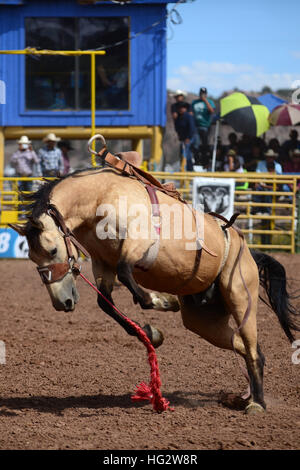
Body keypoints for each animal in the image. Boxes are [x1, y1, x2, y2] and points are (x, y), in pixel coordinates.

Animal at [10, 134, 298, 414]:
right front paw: (152, 333)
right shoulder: (103, 263)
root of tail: (247, 250)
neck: (101, 197)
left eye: (53, 249)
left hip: (240, 296)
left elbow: (127, 274)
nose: (62, 302)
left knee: (252, 348)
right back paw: (247, 397)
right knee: (244, 346)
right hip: (203, 321)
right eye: (32, 257)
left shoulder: (139, 243)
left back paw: (257, 404)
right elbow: (105, 303)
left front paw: (161, 301)